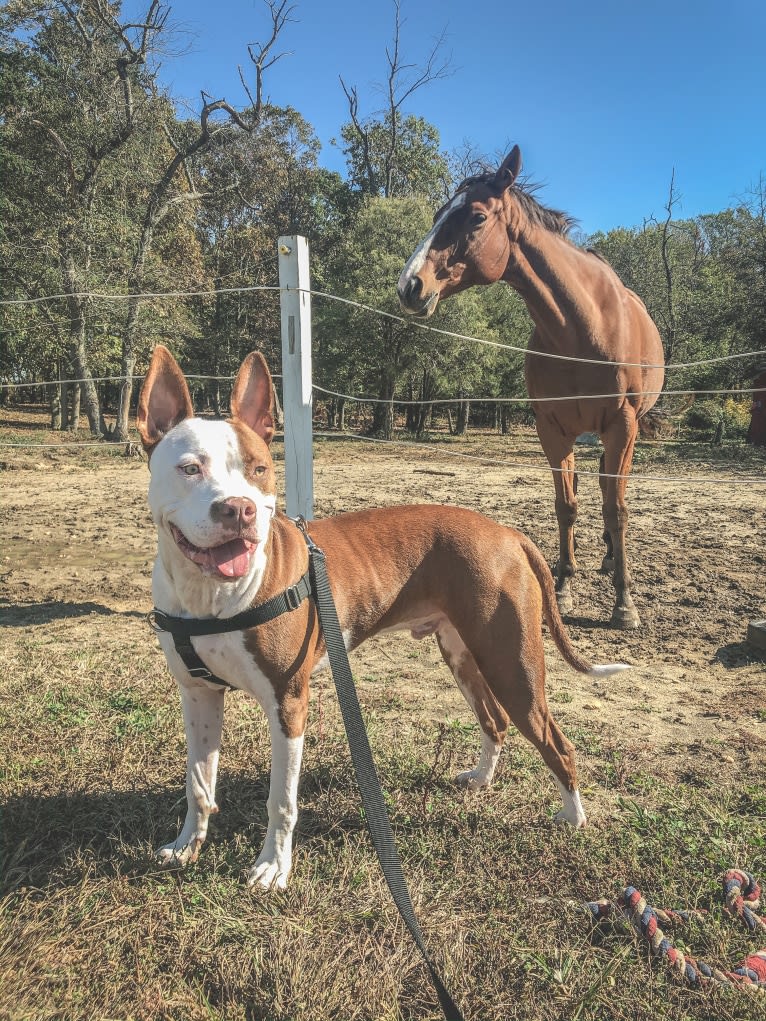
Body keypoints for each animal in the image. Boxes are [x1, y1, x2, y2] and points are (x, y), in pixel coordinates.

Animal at [137, 347, 629, 890]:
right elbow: (199, 783)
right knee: (494, 720)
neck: (212, 596)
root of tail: (507, 533)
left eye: (259, 469)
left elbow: (281, 800)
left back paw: (573, 817)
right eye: (189, 468)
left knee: (556, 743)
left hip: (512, 665)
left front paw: (273, 867)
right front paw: (186, 846)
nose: (239, 510)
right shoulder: (197, 695)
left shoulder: (288, 704)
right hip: (463, 654)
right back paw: (481, 780)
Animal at [396, 141, 665, 620]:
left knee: (613, 492)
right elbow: (566, 506)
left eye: (477, 217)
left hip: (623, 434)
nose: (409, 285)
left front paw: (624, 602)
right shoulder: (552, 429)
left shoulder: (621, 426)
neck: (580, 328)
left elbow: (616, 509)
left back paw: (612, 561)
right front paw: (563, 586)